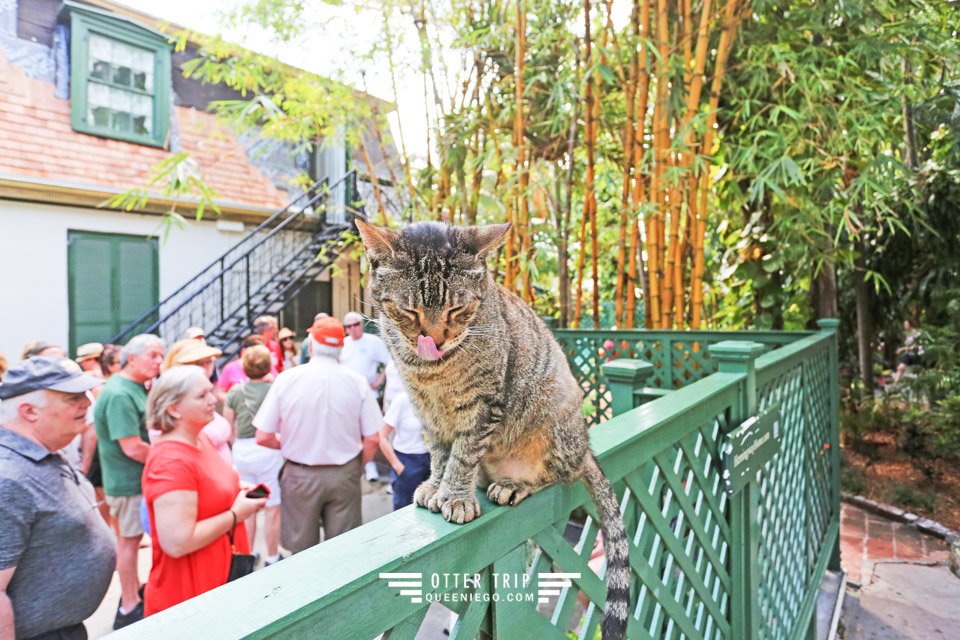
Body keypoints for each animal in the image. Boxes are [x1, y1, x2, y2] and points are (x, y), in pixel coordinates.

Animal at [360, 221, 632, 640]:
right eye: (409, 311)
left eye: (457, 309)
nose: (435, 339)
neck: (432, 372)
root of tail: (585, 447)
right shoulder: (426, 410)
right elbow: (439, 453)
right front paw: (436, 485)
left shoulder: (484, 405)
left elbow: (462, 456)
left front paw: (454, 496)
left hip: (555, 420)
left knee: (556, 474)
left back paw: (513, 485)